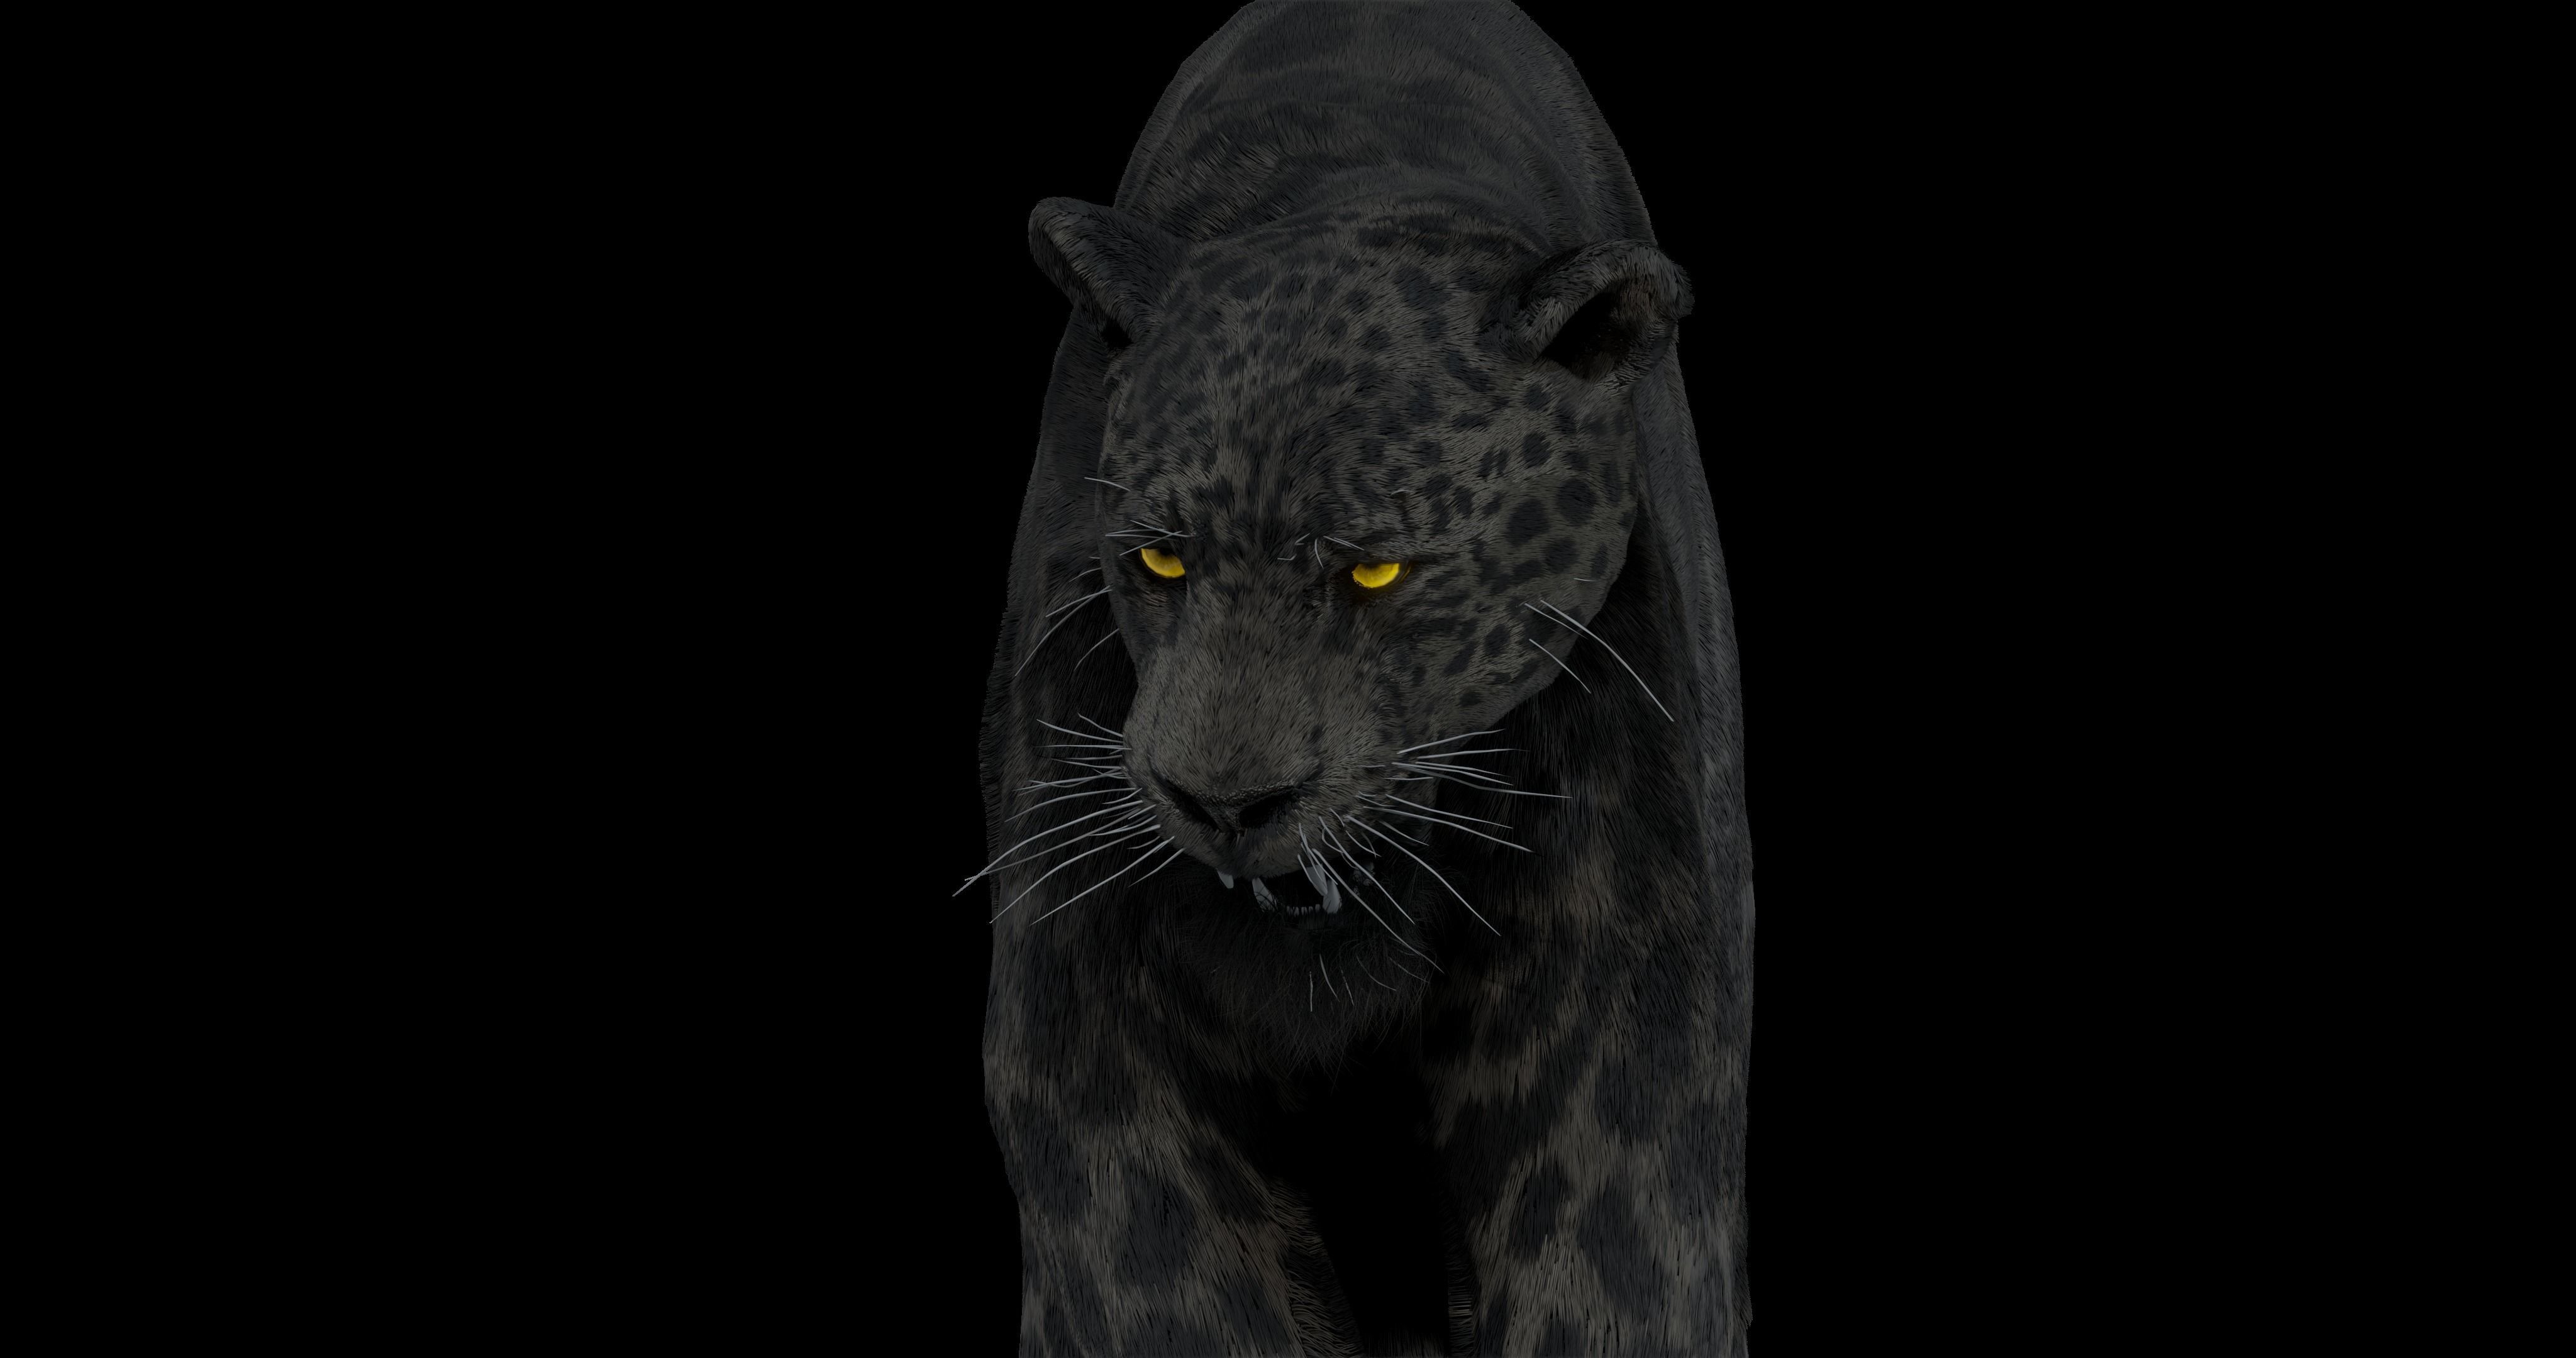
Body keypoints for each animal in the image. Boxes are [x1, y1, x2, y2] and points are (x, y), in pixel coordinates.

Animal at [974, 3, 1752, 1353]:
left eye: (1377, 570)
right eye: (1161, 557)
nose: (1224, 804)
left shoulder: (1620, 1036)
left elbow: (1617, 1265)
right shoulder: (1095, 1053)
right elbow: (1165, 1279)